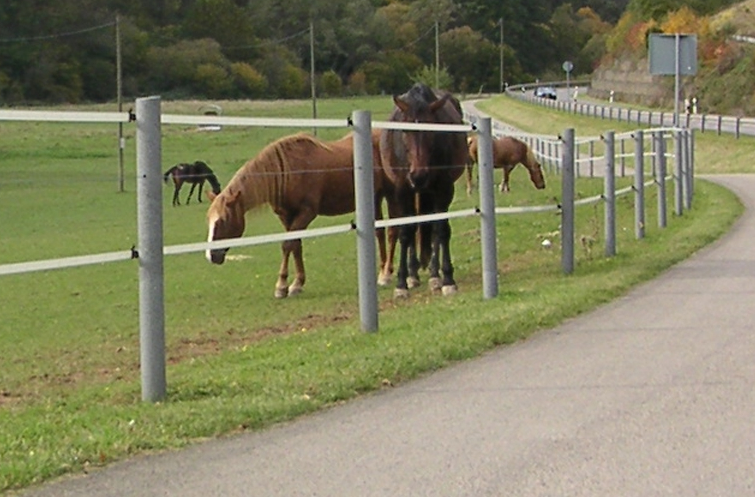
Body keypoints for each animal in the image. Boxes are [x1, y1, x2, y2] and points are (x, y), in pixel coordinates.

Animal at [207, 130, 396, 296]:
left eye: (223, 220)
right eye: (208, 220)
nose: (211, 256)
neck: (287, 171)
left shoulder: (306, 213)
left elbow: (287, 245)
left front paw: (282, 286)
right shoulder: (286, 216)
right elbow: (296, 245)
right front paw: (297, 283)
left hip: (390, 194)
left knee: (393, 231)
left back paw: (387, 274)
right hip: (375, 198)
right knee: (380, 232)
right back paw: (382, 272)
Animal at [380, 83, 470, 296]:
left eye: (431, 131)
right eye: (405, 131)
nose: (418, 175)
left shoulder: (444, 189)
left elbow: (441, 230)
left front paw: (447, 279)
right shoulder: (402, 190)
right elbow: (406, 232)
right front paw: (401, 283)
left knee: (433, 229)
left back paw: (434, 275)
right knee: (414, 227)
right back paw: (413, 275)